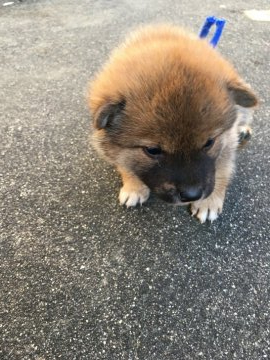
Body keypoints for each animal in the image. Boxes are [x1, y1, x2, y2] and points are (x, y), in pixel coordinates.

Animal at [88, 24, 258, 222]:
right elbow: (125, 164)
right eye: (153, 150)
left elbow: (222, 169)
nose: (192, 195)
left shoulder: (227, 142)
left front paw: (208, 203)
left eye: (209, 142)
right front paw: (134, 187)